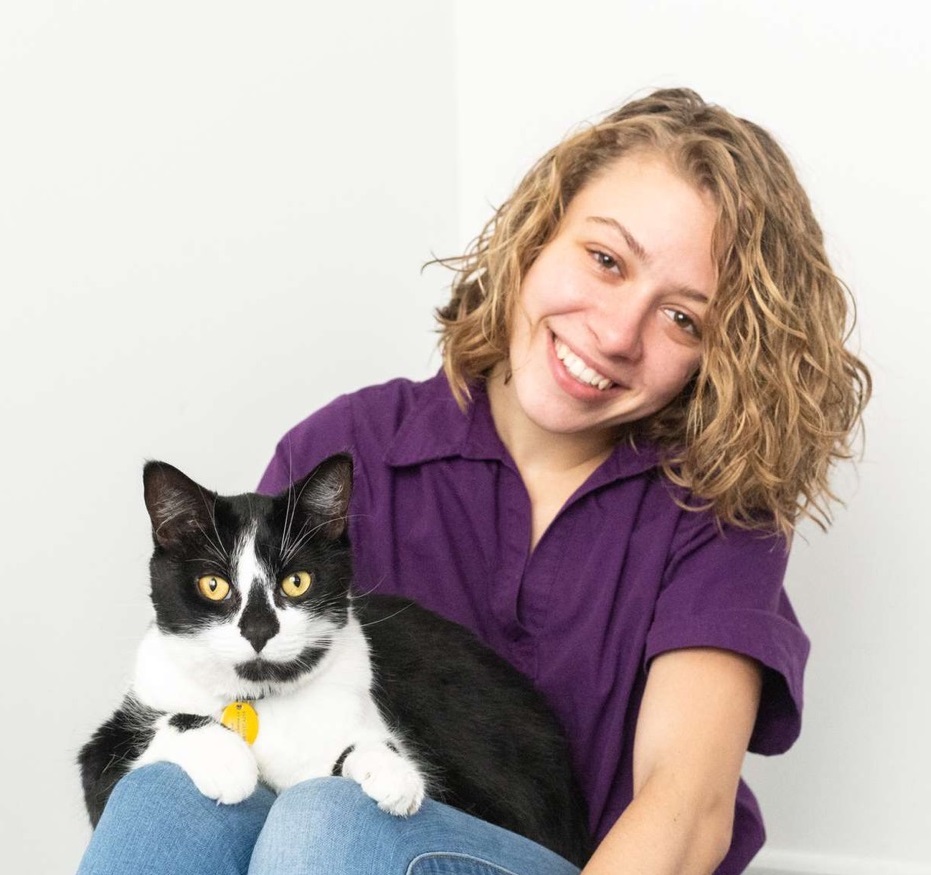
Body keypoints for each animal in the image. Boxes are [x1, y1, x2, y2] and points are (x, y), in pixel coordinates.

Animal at [80, 456, 588, 864]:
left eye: (297, 582)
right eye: (213, 586)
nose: (259, 630)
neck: (258, 698)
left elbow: (345, 760)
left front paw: (390, 771)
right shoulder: (104, 757)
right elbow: (160, 723)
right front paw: (226, 760)